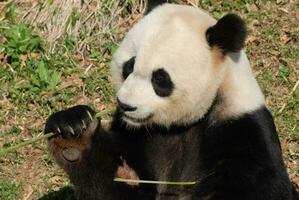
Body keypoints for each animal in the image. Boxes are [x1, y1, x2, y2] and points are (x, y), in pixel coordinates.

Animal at [45, 0, 299, 199]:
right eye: (129, 66)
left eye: (160, 79)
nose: (125, 105)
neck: (179, 126)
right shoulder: (139, 139)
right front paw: (74, 133)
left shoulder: (243, 130)